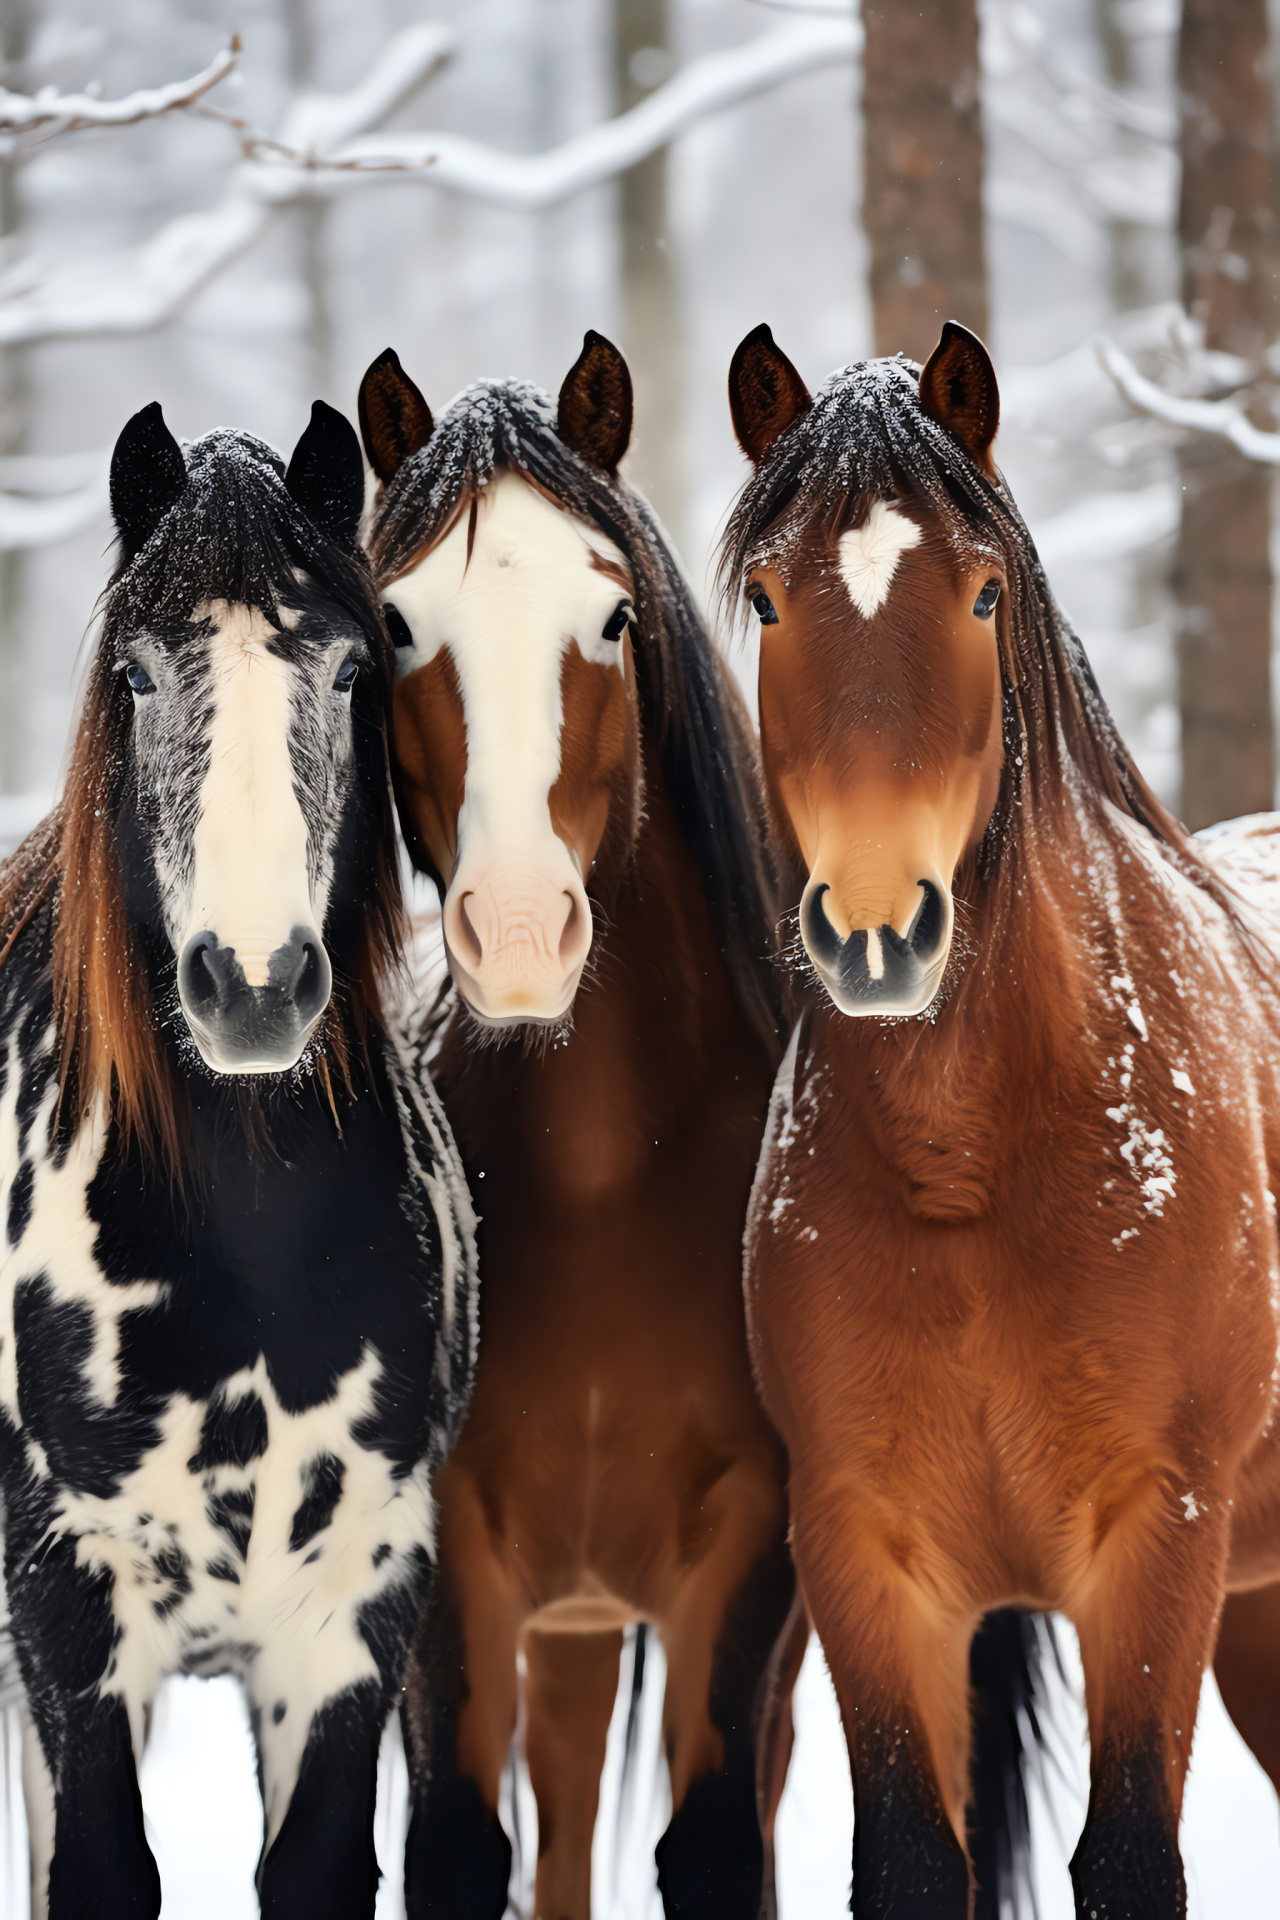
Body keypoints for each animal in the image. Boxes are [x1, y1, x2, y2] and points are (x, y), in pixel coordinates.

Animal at [360, 337, 794, 1920]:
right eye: (392, 623)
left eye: (611, 616)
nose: (517, 930)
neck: (611, 1174)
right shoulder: (445, 1554)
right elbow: (458, 1848)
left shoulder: (749, 1548)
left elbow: (714, 1848)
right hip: (567, 1630)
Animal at [725, 318, 1280, 1920]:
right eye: (768, 595)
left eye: (980, 589)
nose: (873, 931)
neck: (970, 1162)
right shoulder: (865, 1551)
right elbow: (915, 1861)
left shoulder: (1153, 1539)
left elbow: (1129, 1857)